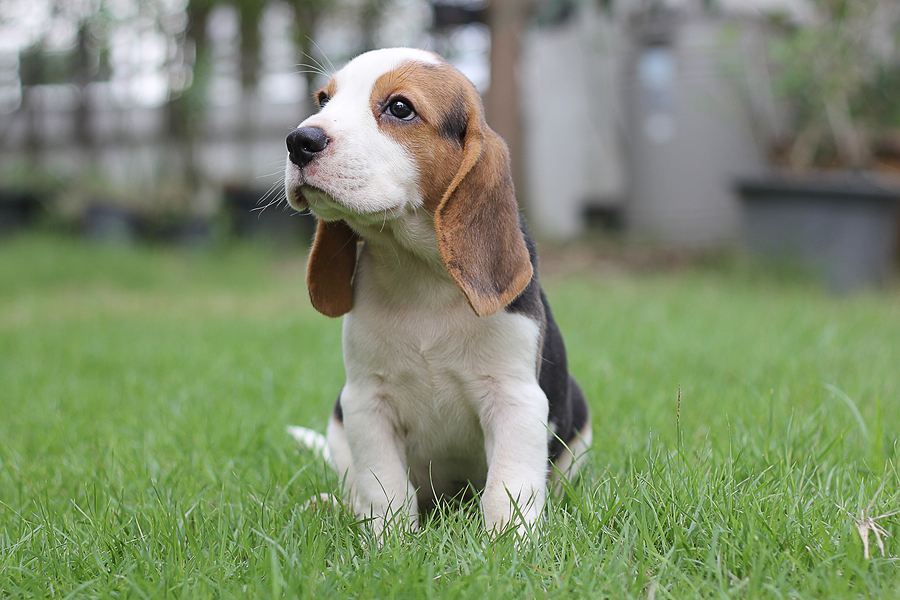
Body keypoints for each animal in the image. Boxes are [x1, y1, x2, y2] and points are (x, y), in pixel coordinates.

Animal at [284, 47, 592, 536]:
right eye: (323, 99)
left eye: (399, 108)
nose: (299, 141)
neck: (420, 275)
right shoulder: (366, 402)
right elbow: (384, 486)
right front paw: (388, 541)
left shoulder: (516, 400)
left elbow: (509, 485)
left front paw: (509, 543)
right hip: (339, 417)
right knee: (354, 486)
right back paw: (329, 506)